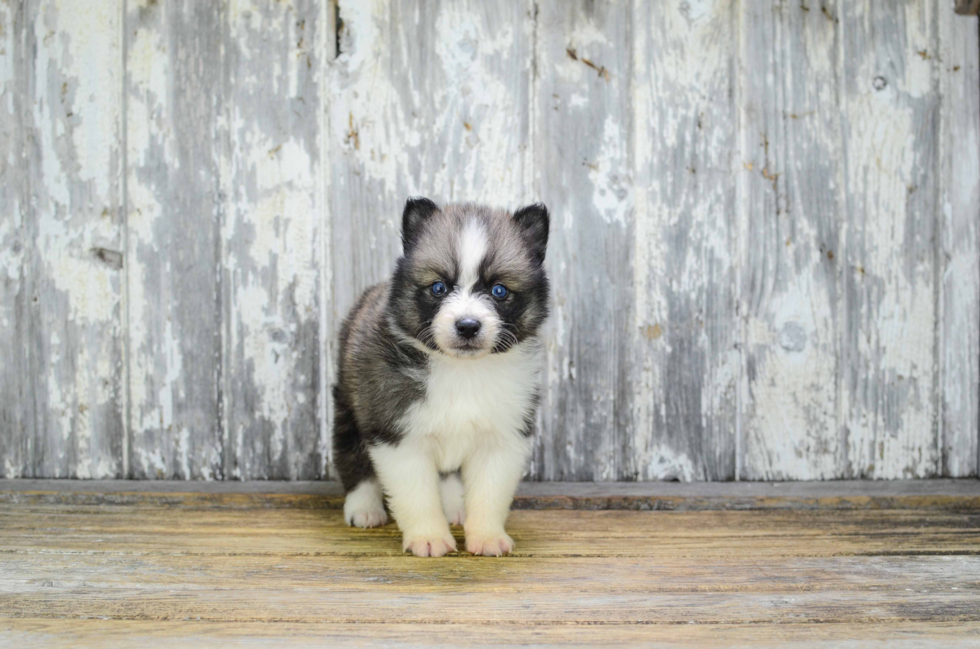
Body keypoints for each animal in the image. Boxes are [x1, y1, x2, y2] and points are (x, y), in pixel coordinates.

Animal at [332, 199, 548, 556]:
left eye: (499, 290)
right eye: (438, 287)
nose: (468, 326)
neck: (460, 369)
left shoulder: (502, 436)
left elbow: (490, 492)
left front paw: (487, 536)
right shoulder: (398, 433)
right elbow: (417, 495)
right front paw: (428, 537)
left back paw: (454, 506)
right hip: (351, 405)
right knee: (352, 455)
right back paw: (364, 507)